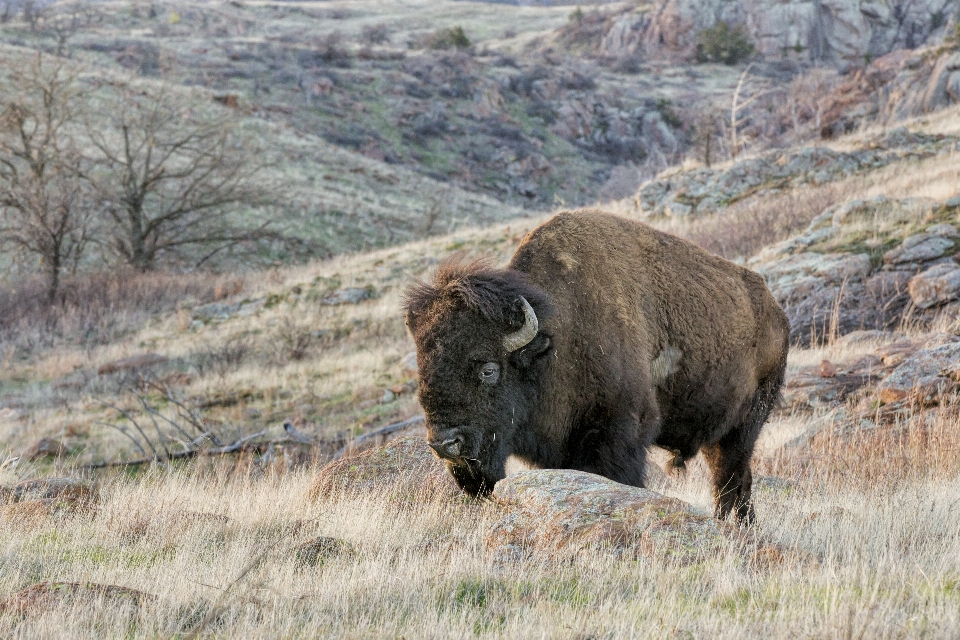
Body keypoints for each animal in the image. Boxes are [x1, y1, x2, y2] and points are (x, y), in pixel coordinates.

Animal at [404, 210, 788, 524]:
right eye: (423, 368)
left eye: (488, 369)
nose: (445, 444)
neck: (556, 335)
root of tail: (777, 313)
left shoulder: (620, 432)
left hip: (744, 427)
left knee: (731, 479)